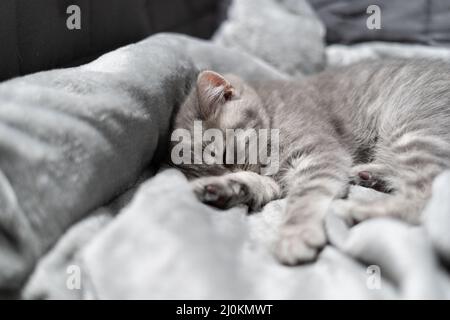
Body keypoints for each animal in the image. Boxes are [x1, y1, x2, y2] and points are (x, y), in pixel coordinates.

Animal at [168, 59, 450, 264]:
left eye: (227, 157)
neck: (271, 110)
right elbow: (255, 182)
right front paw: (219, 188)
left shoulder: (319, 154)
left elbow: (306, 197)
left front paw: (295, 235)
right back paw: (369, 175)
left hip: (412, 130)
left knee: (424, 196)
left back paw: (356, 210)